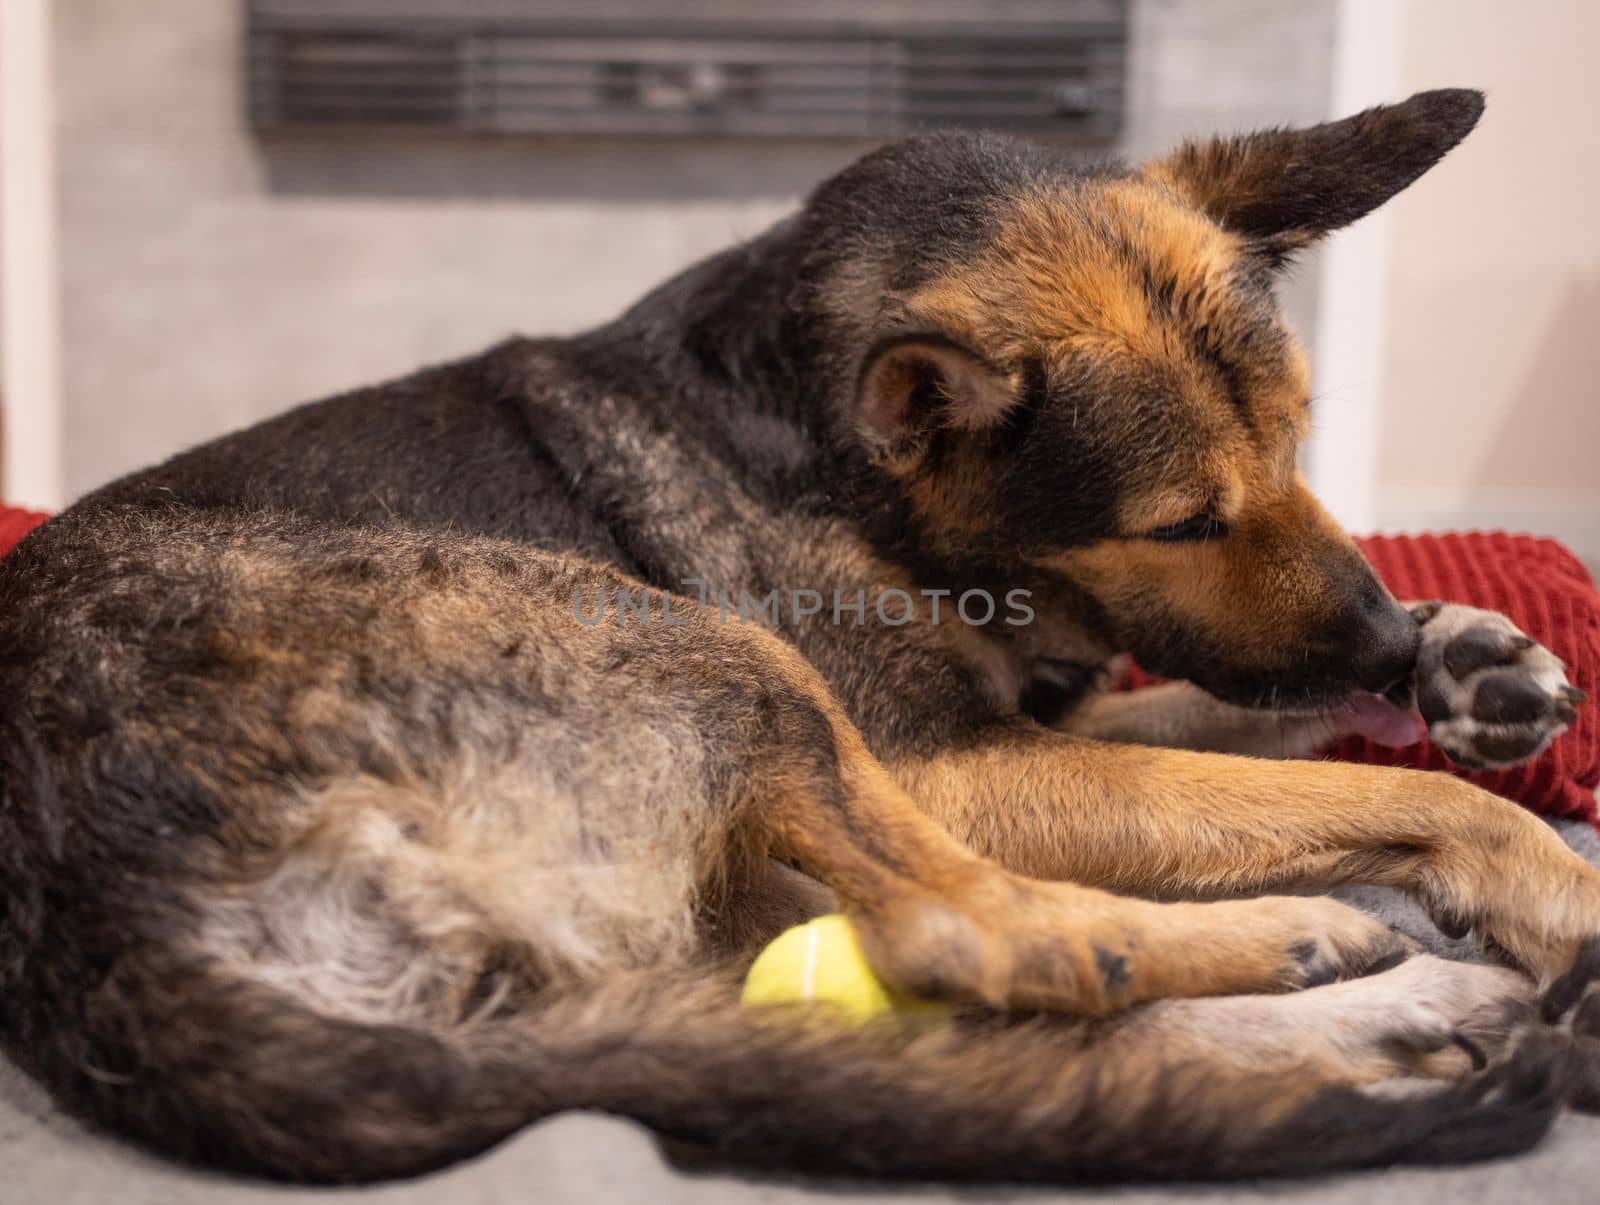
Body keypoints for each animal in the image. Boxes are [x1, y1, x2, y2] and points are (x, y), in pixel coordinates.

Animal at [3, 86, 1600, 1184]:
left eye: (1295, 446)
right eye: (1180, 522)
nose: (1378, 638)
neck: (828, 453)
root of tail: (92, 929)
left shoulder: (1032, 721)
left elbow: (1238, 726)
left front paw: (1464, 653)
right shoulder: (953, 768)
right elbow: (1332, 786)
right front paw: (1535, 866)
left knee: (941, 1047)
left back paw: (1406, 1010)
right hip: (722, 661)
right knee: (971, 939)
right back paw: (1310, 948)